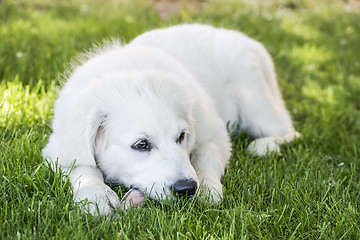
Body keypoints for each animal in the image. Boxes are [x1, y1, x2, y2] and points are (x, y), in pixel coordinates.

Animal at [43, 23, 298, 216]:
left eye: (182, 136)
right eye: (141, 145)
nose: (186, 189)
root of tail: (249, 41)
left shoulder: (216, 133)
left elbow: (206, 153)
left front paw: (207, 188)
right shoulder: (58, 148)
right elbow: (81, 166)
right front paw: (95, 195)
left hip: (256, 103)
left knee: (290, 131)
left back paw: (265, 145)